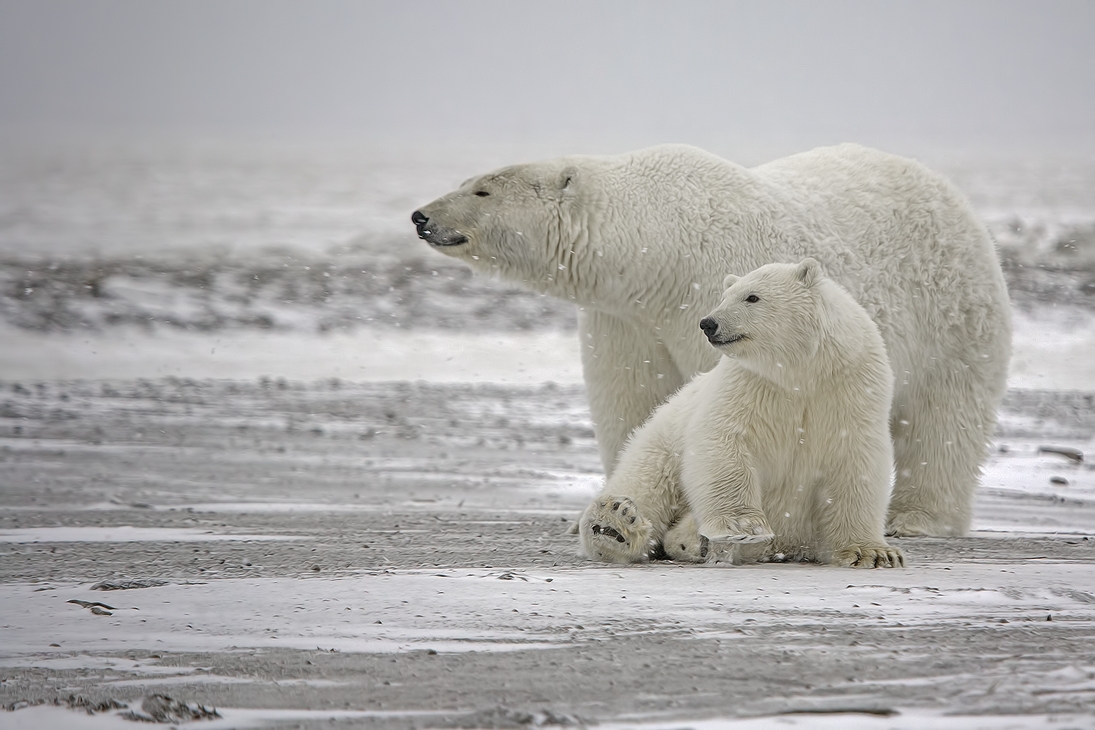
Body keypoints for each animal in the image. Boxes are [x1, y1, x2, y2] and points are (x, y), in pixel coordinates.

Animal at [413, 144, 1011, 536]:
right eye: (469, 180)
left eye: (482, 188)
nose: (420, 216)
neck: (655, 248)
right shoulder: (626, 319)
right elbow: (634, 400)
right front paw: (613, 509)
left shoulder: (709, 290)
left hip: (954, 317)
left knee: (945, 420)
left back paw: (918, 518)